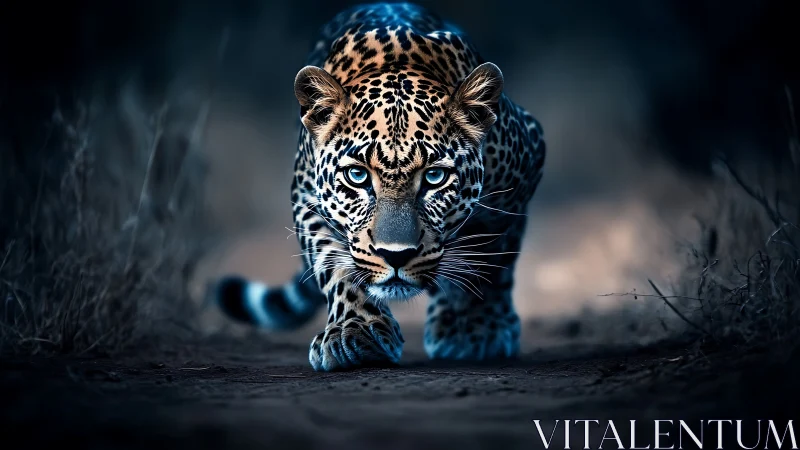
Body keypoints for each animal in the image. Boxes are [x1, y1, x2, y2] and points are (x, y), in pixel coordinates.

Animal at [215, 2, 546, 371]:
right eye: (357, 176)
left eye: (434, 177)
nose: (396, 255)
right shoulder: (306, 197)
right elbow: (335, 265)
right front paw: (354, 331)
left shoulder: (525, 165)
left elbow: (487, 253)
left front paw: (474, 330)